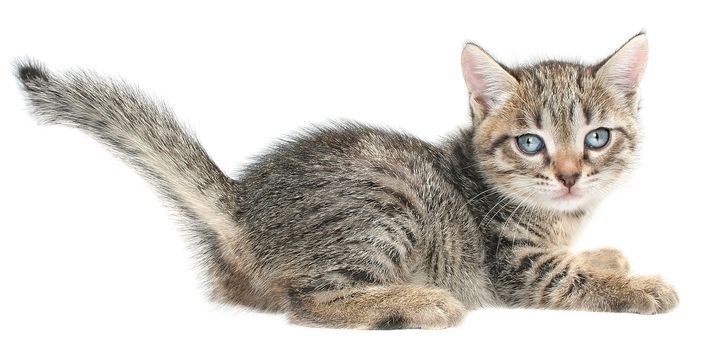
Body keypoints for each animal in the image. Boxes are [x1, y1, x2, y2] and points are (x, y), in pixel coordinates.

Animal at [17, 32, 676, 328]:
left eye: (597, 138)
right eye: (530, 143)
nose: (569, 176)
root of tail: (245, 207)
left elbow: (579, 258)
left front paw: (607, 255)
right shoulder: (517, 269)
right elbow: (569, 281)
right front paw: (636, 285)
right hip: (387, 206)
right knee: (307, 303)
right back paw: (418, 301)